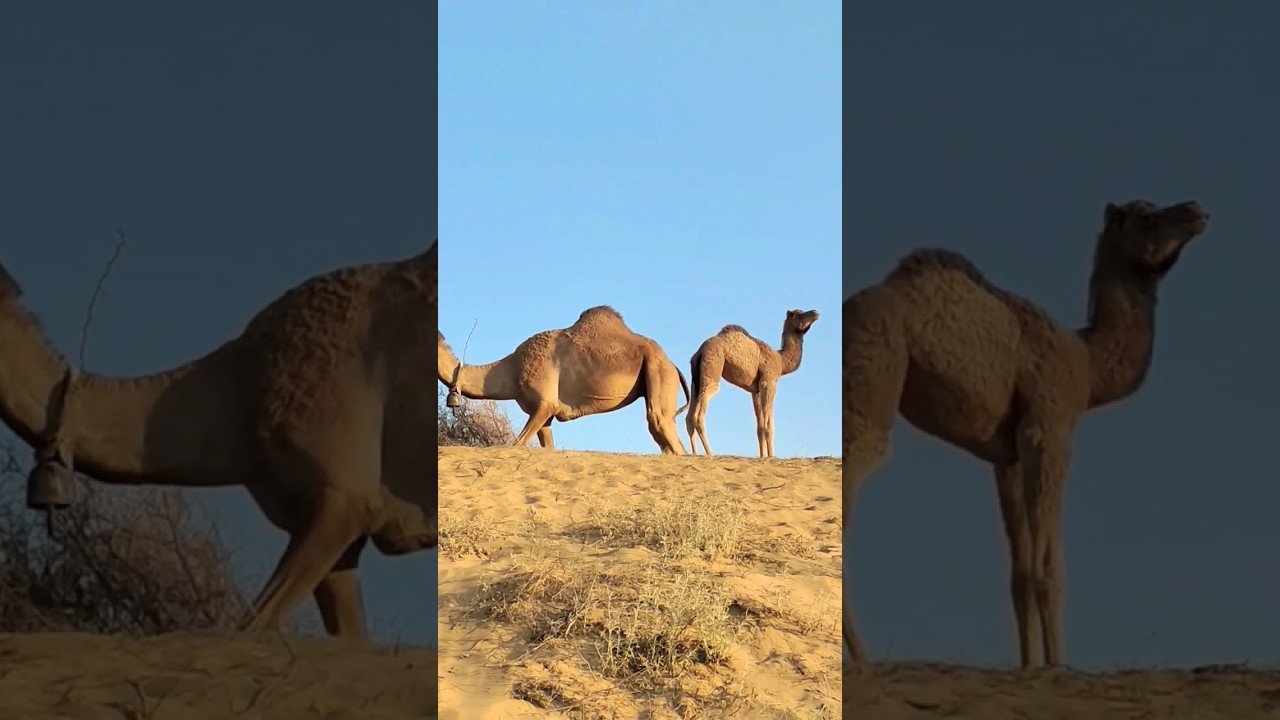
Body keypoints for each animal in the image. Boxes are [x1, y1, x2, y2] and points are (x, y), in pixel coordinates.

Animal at [438, 305, 691, 454]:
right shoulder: (542, 413)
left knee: (661, 423)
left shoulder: (545, 402)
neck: (513, 368)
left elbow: (516, 444)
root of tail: (673, 365)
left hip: (659, 371)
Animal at [685, 309, 820, 459]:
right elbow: (769, 426)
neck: (781, 361)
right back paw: (710, 454)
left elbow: (760, 427)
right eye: (799, 314)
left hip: (696, 378)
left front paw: (763, 456)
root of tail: (700, 351)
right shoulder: (769, 382)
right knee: (699, 415)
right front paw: (772, 456)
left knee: (689, 417)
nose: (815, 312)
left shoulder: (755, 391)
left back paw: (694, 453)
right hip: (713, 368)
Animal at [842, 200, 1209, 670]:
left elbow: (1019, 574)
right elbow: (1048, 573)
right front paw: (1057, 666)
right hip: (875, 380)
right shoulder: (1049, 431)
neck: (1088, 365)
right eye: (1146, 216)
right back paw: (863, 659)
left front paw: (1028, 666)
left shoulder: (1008, 458)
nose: (1196, 211)